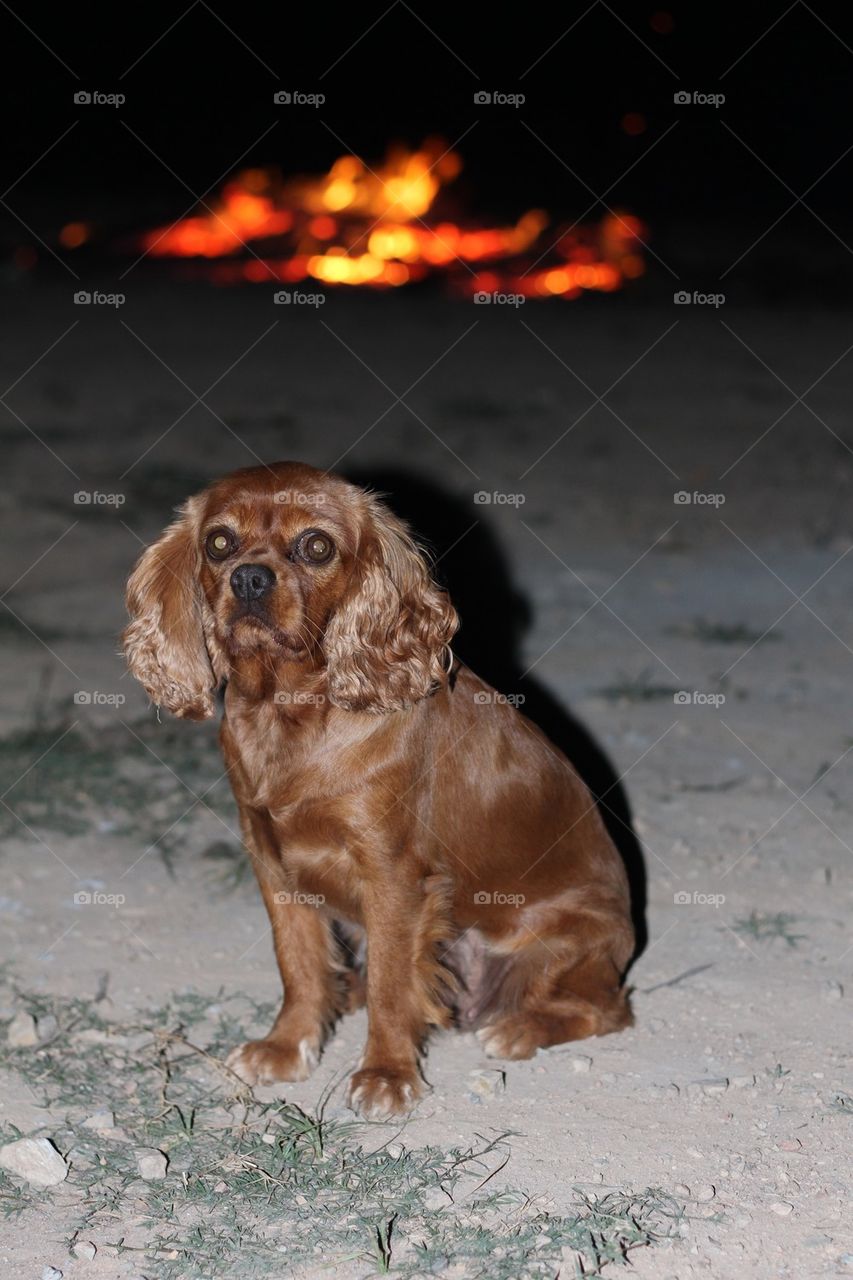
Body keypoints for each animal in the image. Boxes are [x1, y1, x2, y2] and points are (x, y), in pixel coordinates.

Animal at [124, 465, 630, 1116]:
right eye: (218, 542)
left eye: (317, 546)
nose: (250, 578)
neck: (289, 712)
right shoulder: (272, 863)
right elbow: (299, 965)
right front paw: (286, 1046)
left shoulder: (392, 875)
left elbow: (394, 985)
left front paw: (386, 1074)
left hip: (563, 944)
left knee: (607, 1009)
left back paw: (519, 1028)